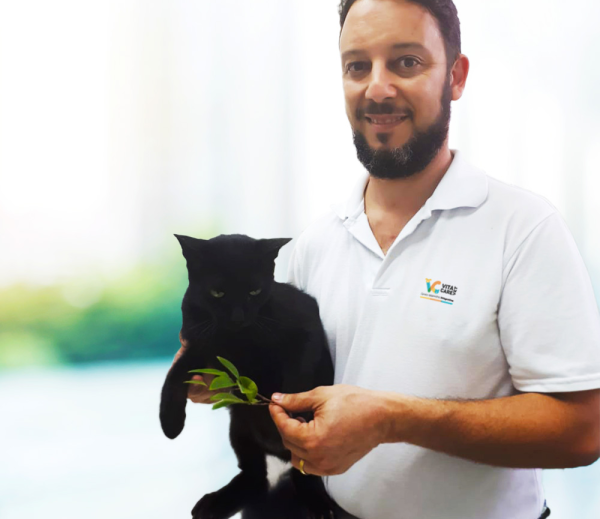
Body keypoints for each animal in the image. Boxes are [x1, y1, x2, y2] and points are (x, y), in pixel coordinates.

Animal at [160, 233, 336, 519]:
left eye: (254, 292)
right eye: (217, 293)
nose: (237, 317)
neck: (239, 338)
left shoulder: (305, 321)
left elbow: (298, 374)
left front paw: (288, 409)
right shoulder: (199, 346)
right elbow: (173, 377)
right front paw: (170, 422)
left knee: (304, 473)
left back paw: (318, 505)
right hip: (240, 426)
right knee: (255, 477)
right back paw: (214, 503)